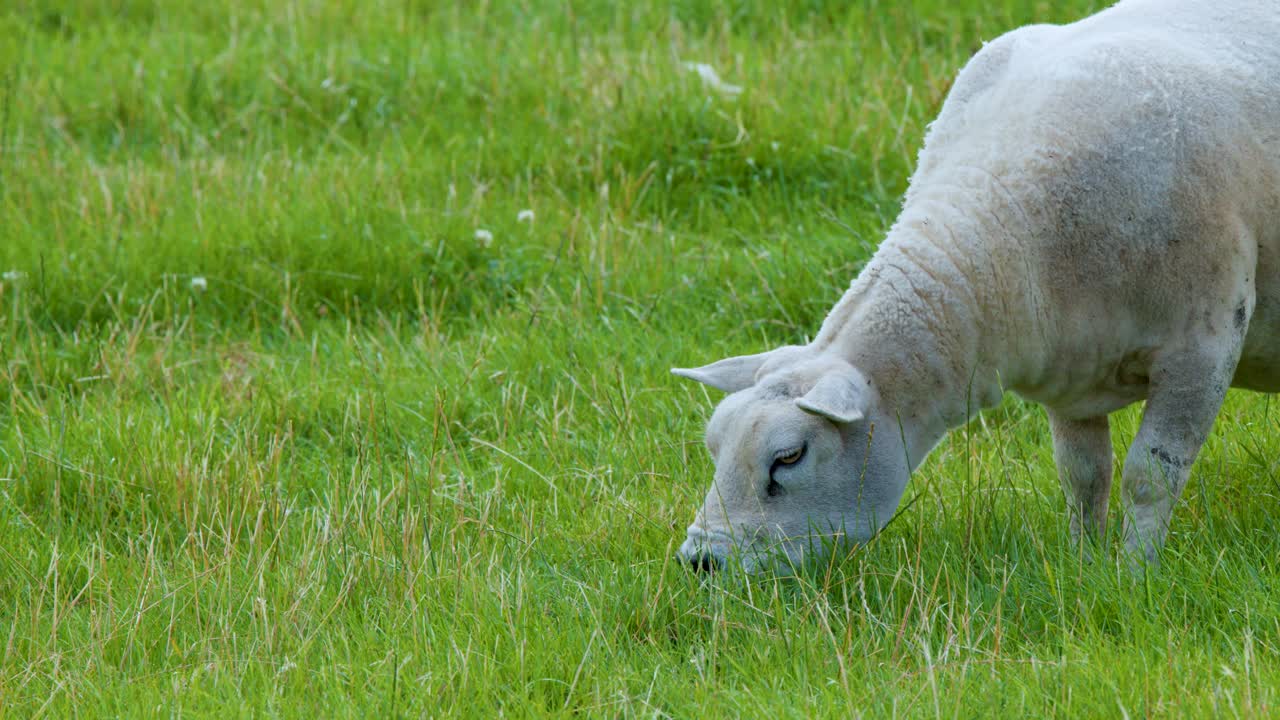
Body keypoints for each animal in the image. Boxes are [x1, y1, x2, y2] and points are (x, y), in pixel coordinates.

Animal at [672, 0, 1280, 572]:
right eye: (713, 444)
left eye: (789, 458)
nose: (701, 561)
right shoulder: (1072, 368)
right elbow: (1083, 475)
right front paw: (1085, 566)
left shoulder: (1201, 348)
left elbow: (1149, 477)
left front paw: (1136, 574)